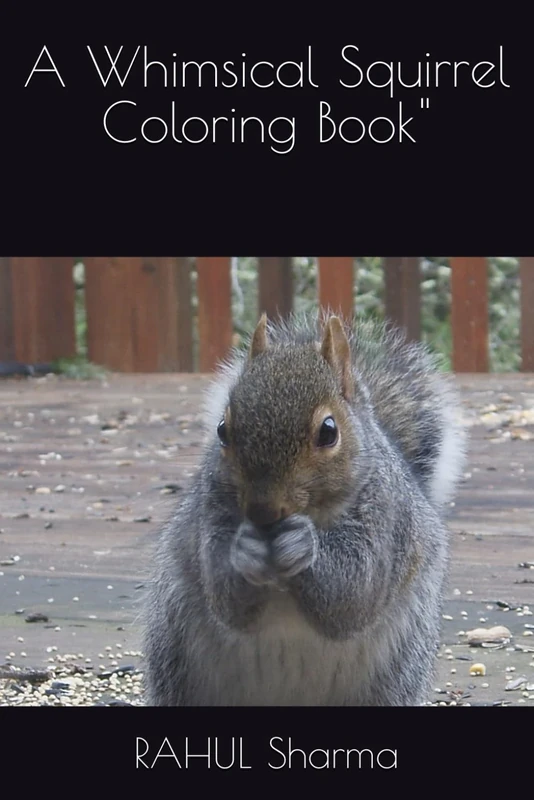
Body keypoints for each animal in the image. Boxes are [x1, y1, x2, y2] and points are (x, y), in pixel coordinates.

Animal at [142, 312, 466, 706]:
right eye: (222, 429)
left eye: (328, 431)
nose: (262, 512)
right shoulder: (212, 511)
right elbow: (225, 595)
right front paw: (245, 550)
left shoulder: (387, 522)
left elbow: (354, 594)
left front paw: (301, 545)